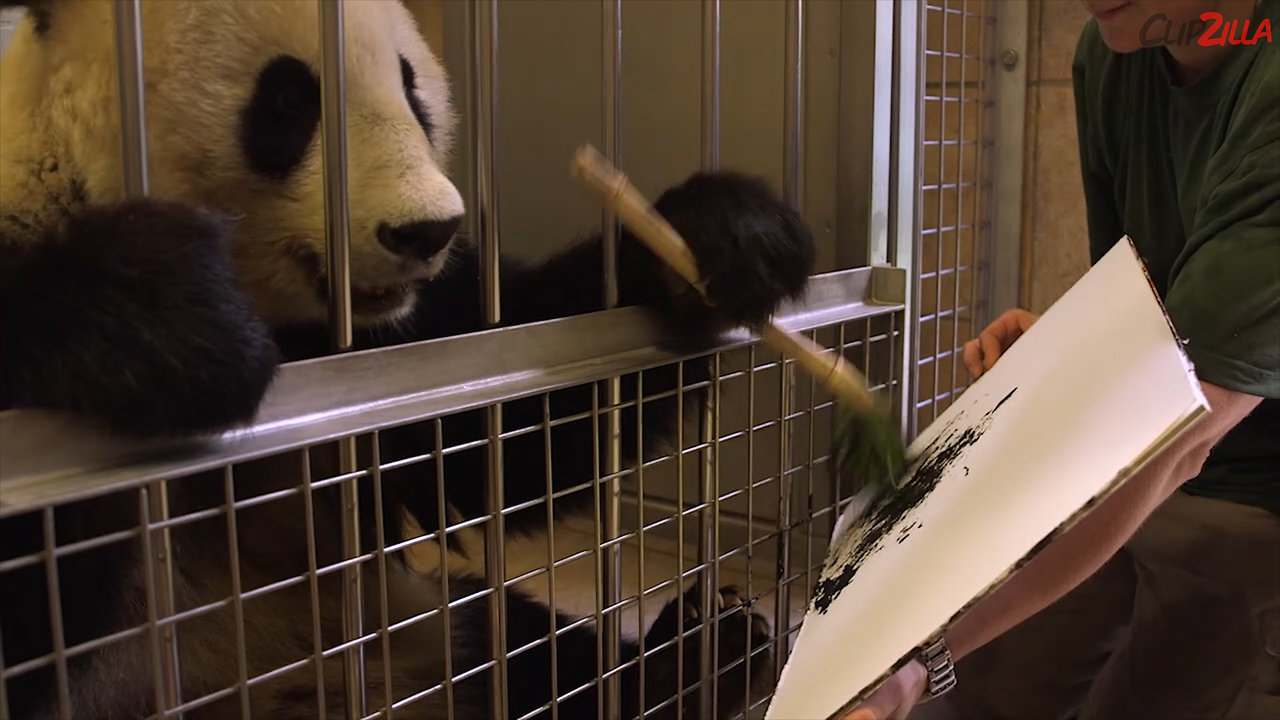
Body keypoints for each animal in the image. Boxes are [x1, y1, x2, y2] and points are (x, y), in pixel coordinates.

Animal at [0, 1, 814, 717]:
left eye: (412, 88)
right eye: (289, 98)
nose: (427, 231)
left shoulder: (405, 339)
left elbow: (509, 428)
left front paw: (720, 235)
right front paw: (169, 317)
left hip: (415, 632)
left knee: (525, 653)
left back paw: (701, 658)